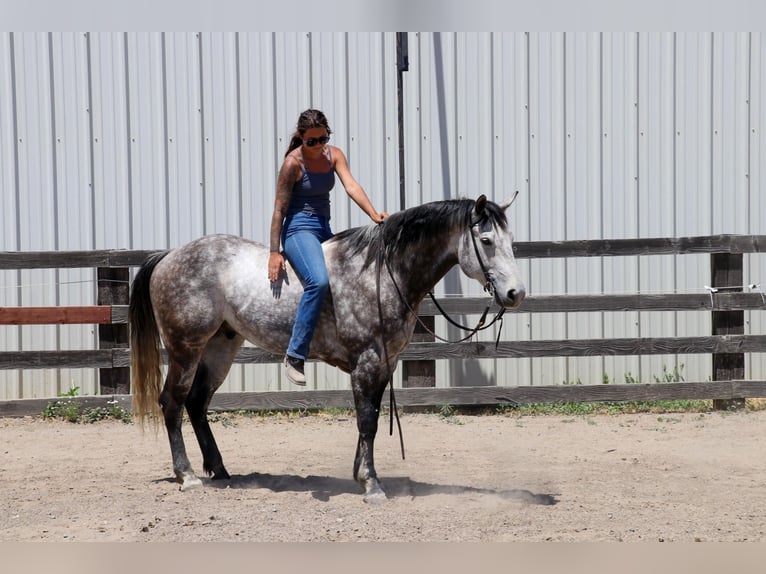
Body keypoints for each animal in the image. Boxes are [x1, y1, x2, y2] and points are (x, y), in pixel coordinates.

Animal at [129, 194, 525, 503]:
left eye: (511, 240)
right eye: (486, 240)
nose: (515, 293)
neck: (382, 273)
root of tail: (168, 256)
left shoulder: (385, 364)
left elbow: (371, 419)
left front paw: (360, 474)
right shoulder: (367, 362)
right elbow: (367, 422)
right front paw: (371, 484)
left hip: (220, 348)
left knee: (197, 403)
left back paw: (220, 469)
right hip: (185, 349)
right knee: (172, 403)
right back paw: (187, 475)